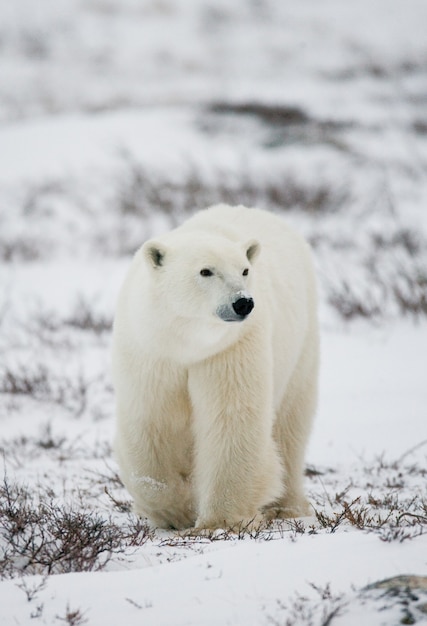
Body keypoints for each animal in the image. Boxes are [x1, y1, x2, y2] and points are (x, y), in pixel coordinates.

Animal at [112, 204, 320, 528]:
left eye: (244, 270)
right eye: (206, 271)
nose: (243, 302)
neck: (188, 343)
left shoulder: (231, 347)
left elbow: (231, 418)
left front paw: (221, 520)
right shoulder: (151, 350)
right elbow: (153, 420)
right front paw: (174, 510)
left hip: (301, 344)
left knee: (290, 425)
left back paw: (288, 506)